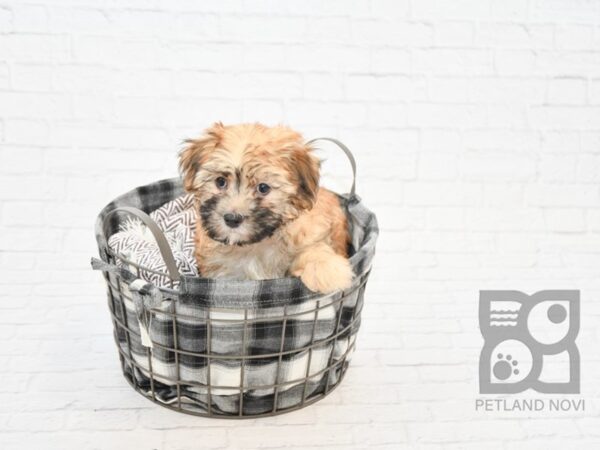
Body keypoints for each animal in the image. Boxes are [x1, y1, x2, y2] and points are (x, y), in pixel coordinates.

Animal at [178, 121, 356, 294]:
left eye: (263, 188)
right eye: (220, 181)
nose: (232, 219)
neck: (257, 243)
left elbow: (313, 249)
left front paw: (326, 270)